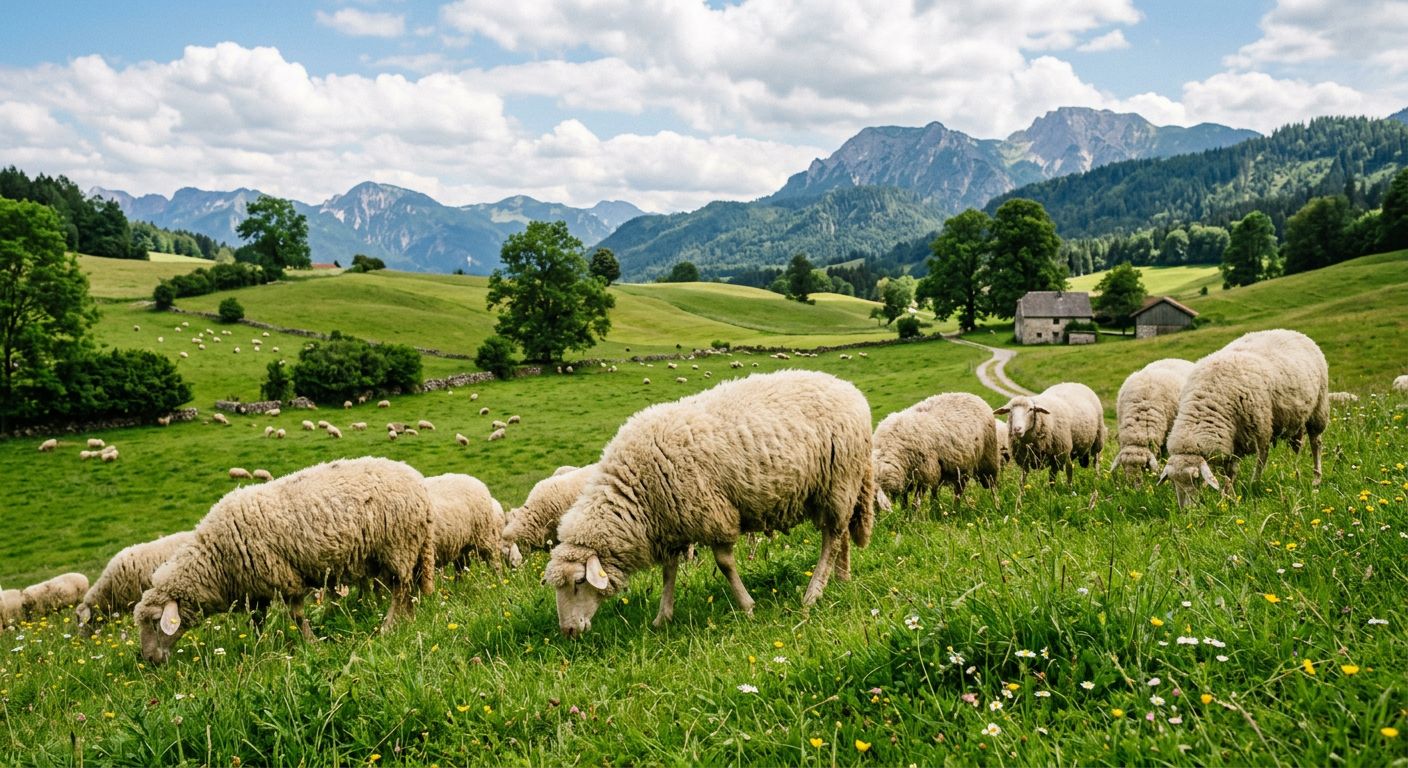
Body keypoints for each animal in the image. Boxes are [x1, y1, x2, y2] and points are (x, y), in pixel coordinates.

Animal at [133, 457, 435, 664]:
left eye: (156, 621)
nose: (150, 660)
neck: (215, 558)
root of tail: (417, 481)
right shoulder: (255, 589)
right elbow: (256, 621)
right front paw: (259, 646)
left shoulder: (285, 577)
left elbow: (297, 616)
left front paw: (312, 644)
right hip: (402, 550)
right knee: (407, 589)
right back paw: (408, 620)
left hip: (398, 546)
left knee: (400, 590)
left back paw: (387, 627)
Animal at [544, 370, 875, 636]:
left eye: (578, 582)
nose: (568, 632)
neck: (636, 492)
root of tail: (851, 389)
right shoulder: (671, 525)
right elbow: (669, 572)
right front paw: (662, 618)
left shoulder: (713, 514)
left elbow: (724, 564)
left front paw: (747, 606)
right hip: (839, 488)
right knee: (841, 534)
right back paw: (842, 578)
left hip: (839, 480)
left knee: (831, 539)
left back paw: (813, 593)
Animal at [871, 392, 1001, 509]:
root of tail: (975, 396)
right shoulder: (907, 477)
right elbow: (904, 503)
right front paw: (906, 517)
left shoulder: (925, 472)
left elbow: (915, 503)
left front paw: (913, 518)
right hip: (961, 466)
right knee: (959, 489)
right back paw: (952, 509)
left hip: (988, 457)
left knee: (992, 484)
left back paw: (996, 505)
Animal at [1160, 329, 1329, 508]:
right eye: (1173, 482)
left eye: (1196, 478)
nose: (1186, 510)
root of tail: (1292, 332)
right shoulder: (1231, 438)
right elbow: (1228, 473)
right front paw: (1229, 497)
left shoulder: (1261, 430)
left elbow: (1260, 460)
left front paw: (1251, 485)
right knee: (1297, 447)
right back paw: (1295, 471)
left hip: (1318, 408)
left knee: (1316, 443)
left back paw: (1316, 478)